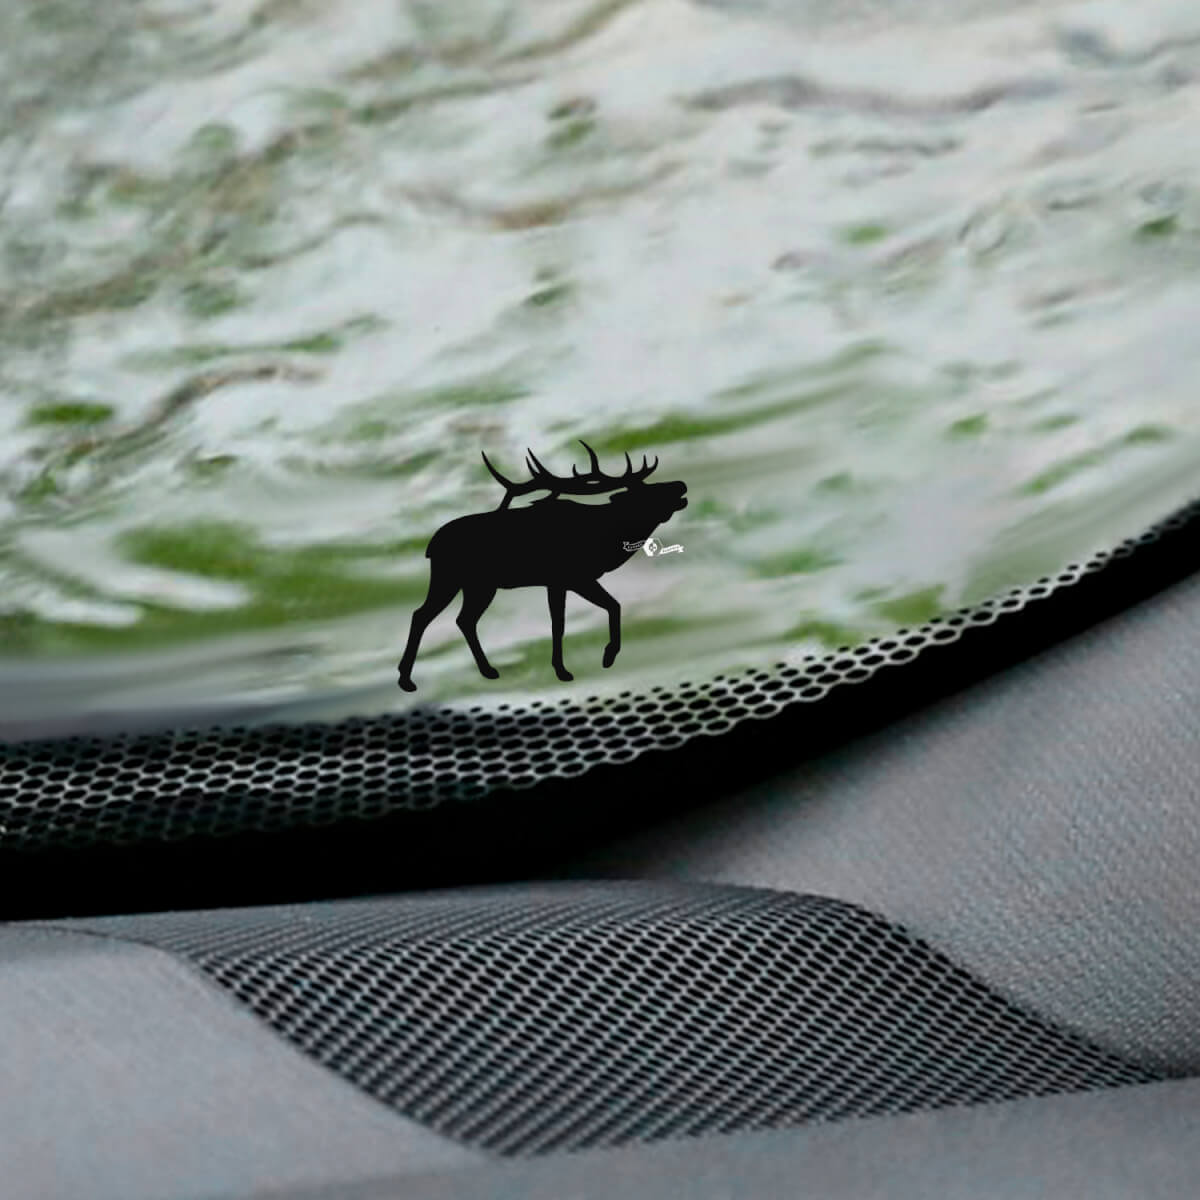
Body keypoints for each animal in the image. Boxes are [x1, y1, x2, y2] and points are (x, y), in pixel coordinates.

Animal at [397, 441, 688, 691]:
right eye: (647, 493)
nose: (681, 484)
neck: (605, 538)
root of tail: (431, 546)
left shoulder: (562, 581)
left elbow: (583, 614)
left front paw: (573, 665)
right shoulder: (570, 577)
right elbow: (575, 618)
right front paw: (592, 662)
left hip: (479, 586)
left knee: (464, 619)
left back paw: (487, 670)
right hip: (450, 578)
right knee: (422, 615)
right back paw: (406, 679)